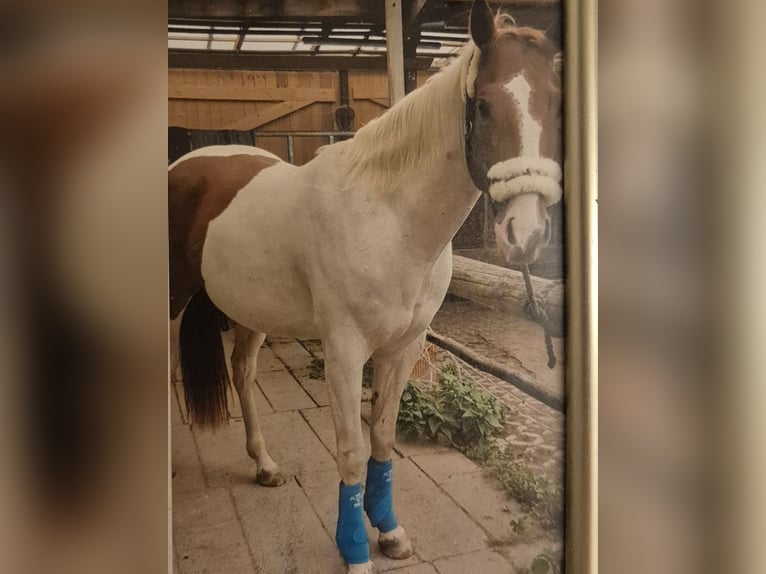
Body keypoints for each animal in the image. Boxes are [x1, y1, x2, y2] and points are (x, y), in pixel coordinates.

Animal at [168, 2, 562, 572]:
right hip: (172, 301)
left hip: (250, 312)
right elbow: (351, 451)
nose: (525, 234)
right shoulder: (345, 350)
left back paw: (264, 465)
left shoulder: (403, 347)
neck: (390, 218)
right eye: (485, 106)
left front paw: (390, 531)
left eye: (554, 104)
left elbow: (381, 437)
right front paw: (355, 548)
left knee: (242, 374)